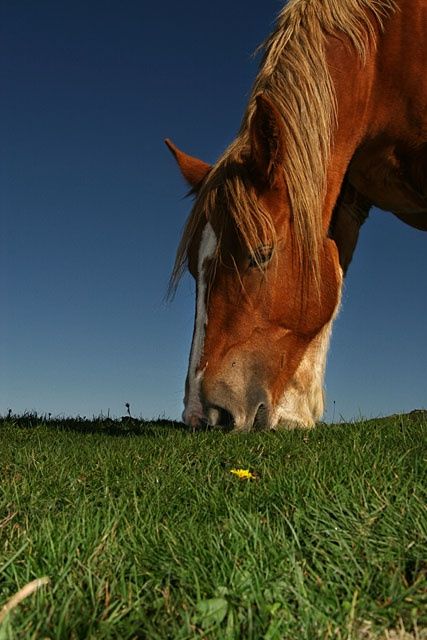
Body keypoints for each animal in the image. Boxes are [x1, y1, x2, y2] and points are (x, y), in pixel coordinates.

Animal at [167, 0, 427, 432]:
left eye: (261, 253)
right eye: (192, 270)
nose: (203, 415)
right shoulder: (341, 197)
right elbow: (331, 276)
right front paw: (293, 412)